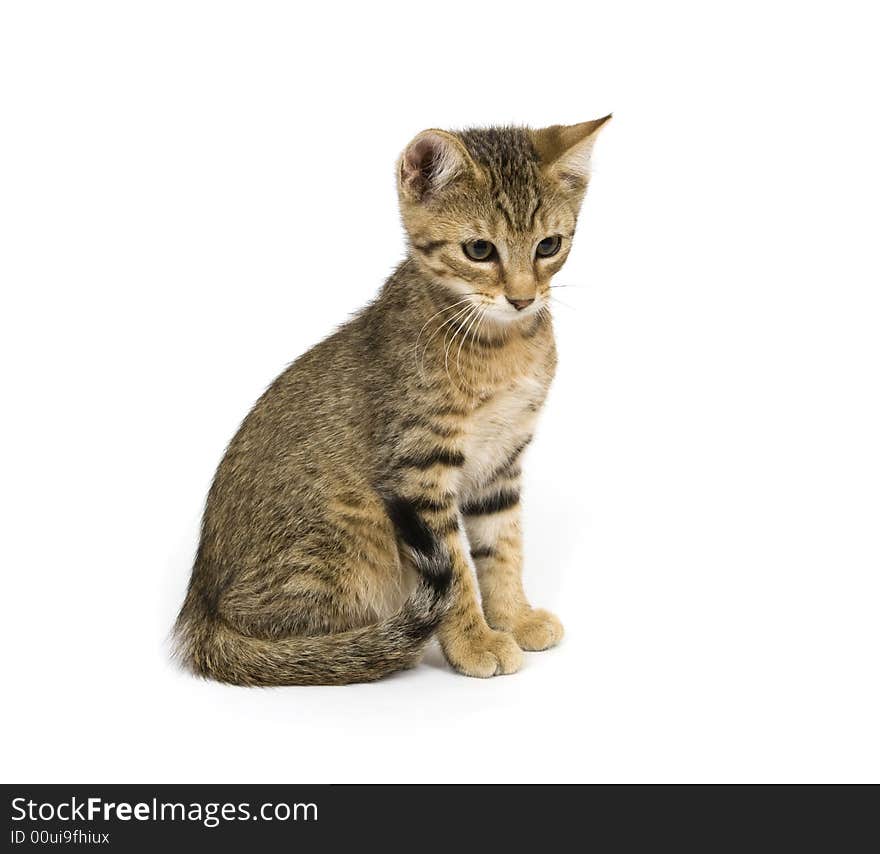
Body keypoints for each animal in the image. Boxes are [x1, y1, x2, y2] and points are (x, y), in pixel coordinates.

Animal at [173, 117, 612, 684]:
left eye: (548, 245)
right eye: (479, 251)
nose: (522, 299)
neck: (501, 345)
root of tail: (196, 608)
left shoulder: (502, 463)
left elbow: (503, 547)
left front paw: (514, 617)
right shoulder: (419, 469)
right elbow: (456, 572)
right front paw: (474, 641)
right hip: (348, 535)